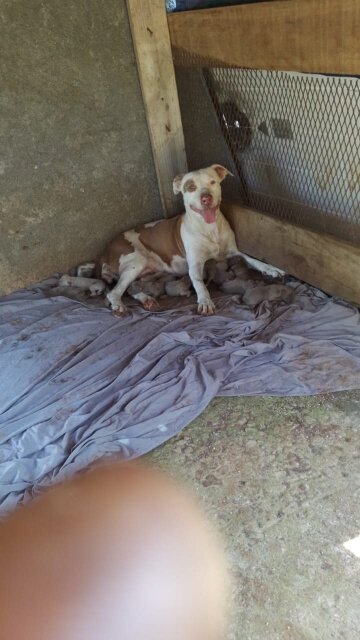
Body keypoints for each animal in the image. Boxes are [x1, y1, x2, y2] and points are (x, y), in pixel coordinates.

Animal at [66, 164, 282, 316]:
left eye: (212, 182)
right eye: (190, 187)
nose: (205, 198)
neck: (209, 229)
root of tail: (105, 250)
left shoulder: (233, 252)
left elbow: (252, 259)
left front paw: (272, 269)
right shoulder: (194, 266)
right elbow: (199, 283)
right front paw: (205, 300)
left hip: (145, 272)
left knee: (130, 289)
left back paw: (146, 299)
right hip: (136, 261)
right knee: (115, 292)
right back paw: (119, 306)